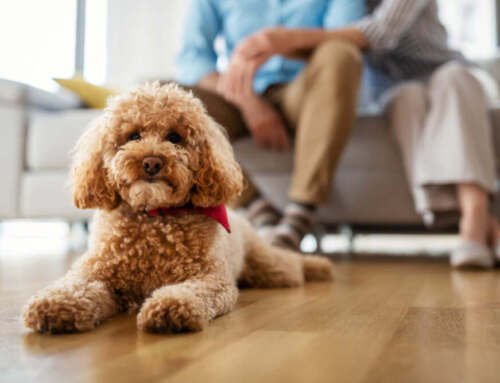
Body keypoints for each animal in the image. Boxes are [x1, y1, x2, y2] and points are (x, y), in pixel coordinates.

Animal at [22, 82, 332, 334]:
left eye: (174, 137)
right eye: (133, 136)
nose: (151, 162)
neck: (154, 216)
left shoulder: (210, 278)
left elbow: (188, 292)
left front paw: (170, 307)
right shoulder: (95, 272)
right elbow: (76, 286)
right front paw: (56, 304)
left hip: (266, 264)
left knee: (290, 264)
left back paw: (318, 267)